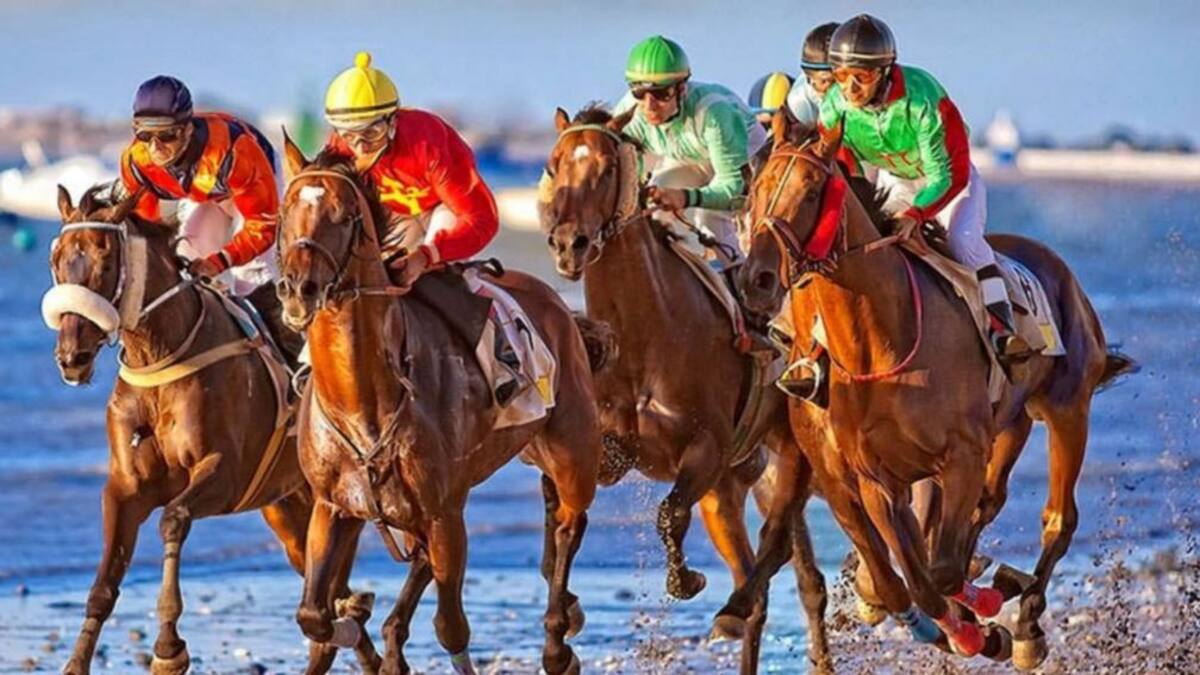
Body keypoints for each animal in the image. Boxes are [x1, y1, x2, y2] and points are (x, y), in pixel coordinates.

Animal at [46, 185, 381, 674]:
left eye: (105, 259)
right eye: (56, 258)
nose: (72, 357)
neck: (160, 357)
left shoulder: (225, 473)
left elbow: (173, 519)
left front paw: (168, 648)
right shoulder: (125, 487)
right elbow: (103, 585)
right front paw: (76, 662)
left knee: (334, 597)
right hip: (288, 510)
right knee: (330, 598)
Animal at [274, 136, 603, 675]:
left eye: (345, 215)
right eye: (285, 212)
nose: (299, 289)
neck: (362, 400)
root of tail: (558, 305)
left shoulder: (446, 513)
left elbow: (451, 628)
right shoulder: (333, 506)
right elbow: (312, 615)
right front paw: (353, 617)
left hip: (572, 450)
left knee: (568, 526)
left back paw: (559, 638)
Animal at [541, 105, 832, 673]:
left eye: (607, 169)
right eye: (554, 163)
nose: (568, 244)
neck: (645, 335)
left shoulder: (707, 450)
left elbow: (669, 514)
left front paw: (686, 578)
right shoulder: (605, 450)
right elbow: (567, 520)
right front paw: (561, 632)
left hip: (787, 453)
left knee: (777, 553)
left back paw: (735, 610)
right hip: (728, 491)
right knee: (757, 576)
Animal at [733, 111, 1136, 666]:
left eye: (812, 189)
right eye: (756, 189)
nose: (757, 279)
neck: (880, 344)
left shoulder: (960, 455)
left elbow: (938, 570)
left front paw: (981, 620)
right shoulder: (871, 478)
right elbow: (911, 578)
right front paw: (964, 625)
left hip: (1066, 408)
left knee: (1058, 519)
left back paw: (1026, 626)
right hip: (1009, 424)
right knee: (986, 506)